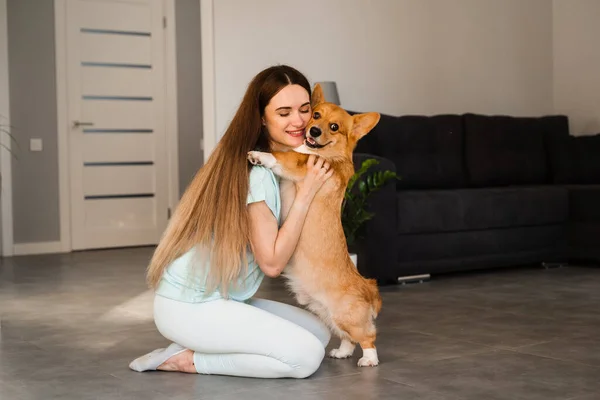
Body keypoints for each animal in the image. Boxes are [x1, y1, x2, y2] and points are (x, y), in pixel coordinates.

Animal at [246, 83, 382, 366]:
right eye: (315, 115)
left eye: (334, 127)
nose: (314, 131)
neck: (317, 152)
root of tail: (368, 287)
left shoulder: (299, 165)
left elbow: (281, 155)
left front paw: (260, 155)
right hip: (328, 315)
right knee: (347, 338)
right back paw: (341, 352)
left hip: (346, 316)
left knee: (367, 337)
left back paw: (369, 360)